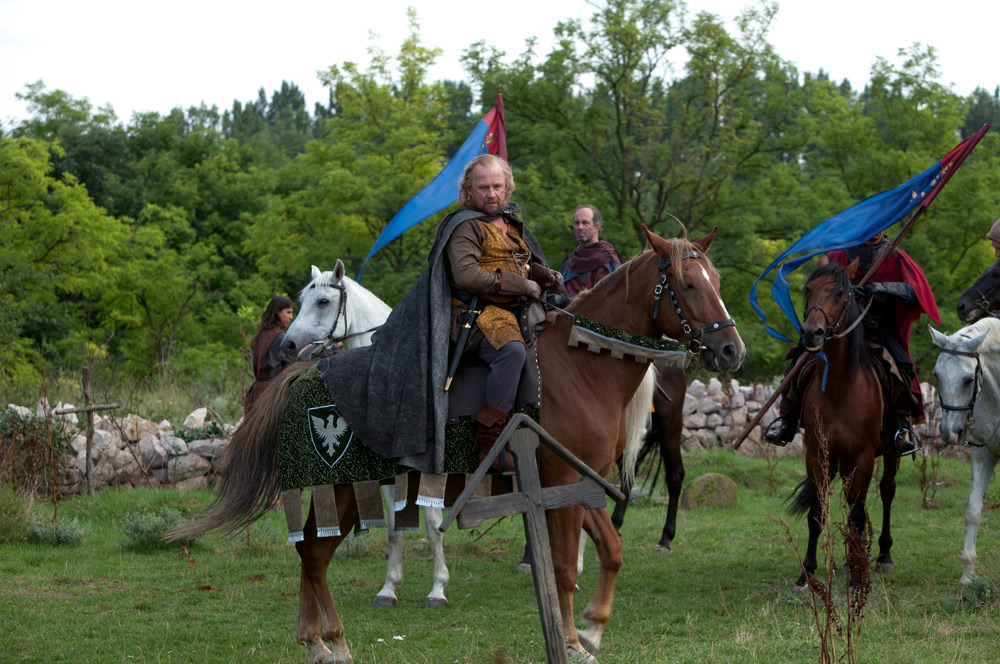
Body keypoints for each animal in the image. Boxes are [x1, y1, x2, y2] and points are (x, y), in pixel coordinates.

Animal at [282, 262, 656, 608]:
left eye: (323, 301)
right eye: (303, 301)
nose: (287, 344)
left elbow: (433, 526)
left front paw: (437, 589)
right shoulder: (392, 475)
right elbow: (393, 529)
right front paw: (389, 587)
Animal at [792, 260, 904, 592]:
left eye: (840, 293)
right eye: (808, 290)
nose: (811, 333)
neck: (839, 388)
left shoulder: (863, 457)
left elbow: (856, 514)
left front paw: (857, 574)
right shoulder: (817, 455)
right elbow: (817, 513)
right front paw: (807, 573)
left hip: (887, 455)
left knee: (886, 492)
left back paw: (881, 556)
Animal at [928, 320, 1000, 584]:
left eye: (969, 379)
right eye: (937, 375)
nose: (950, 432)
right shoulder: (984, 453)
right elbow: (973, 510)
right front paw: (968, 575)